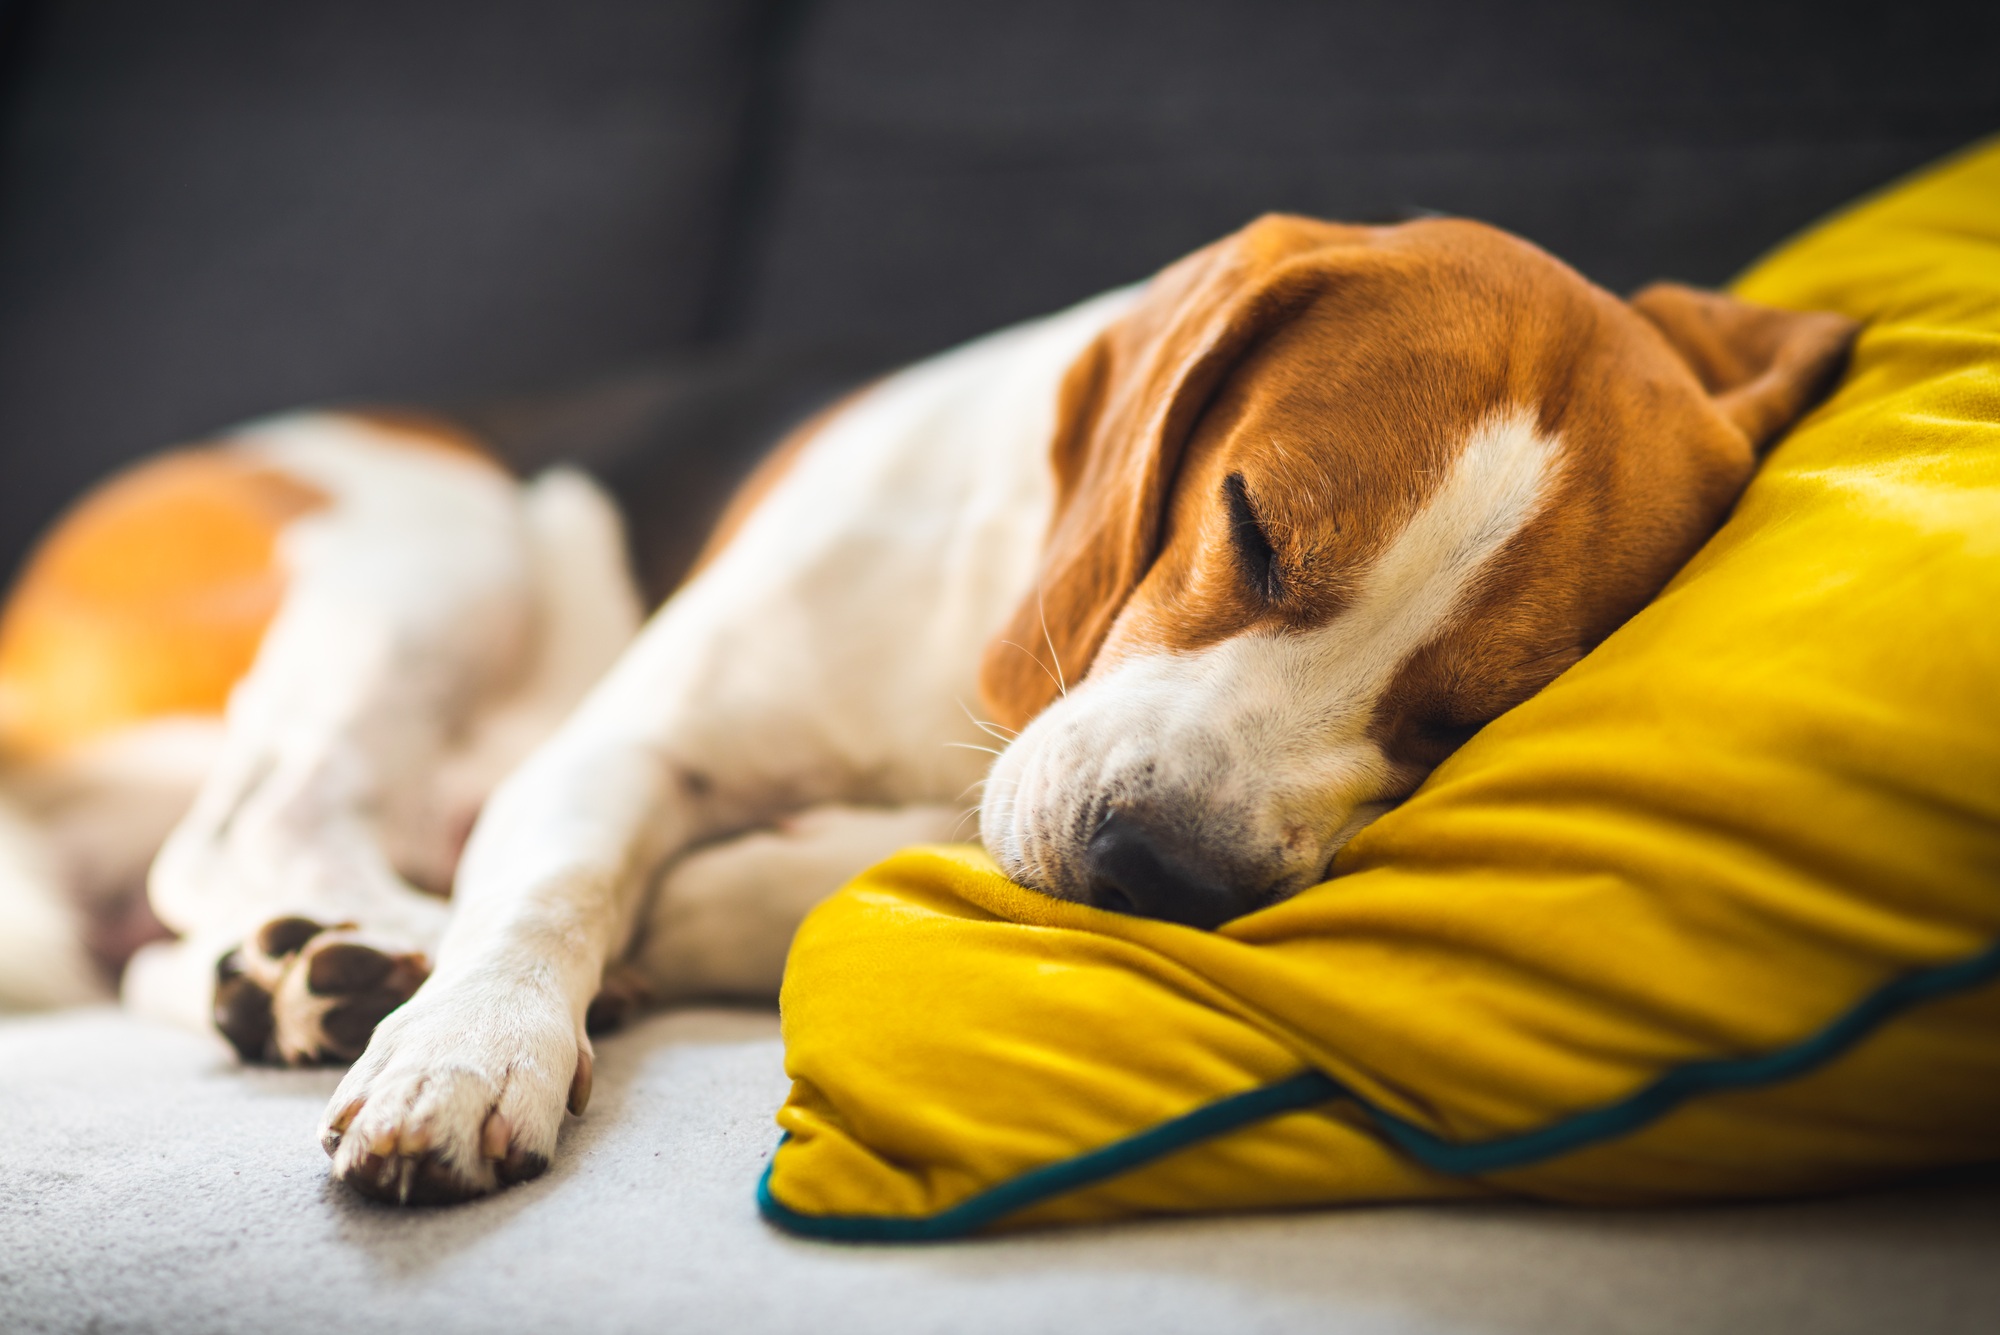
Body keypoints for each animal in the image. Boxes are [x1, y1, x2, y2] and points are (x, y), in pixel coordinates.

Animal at [0, 216, 1848, 1199]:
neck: (979, 633)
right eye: (1252, 523)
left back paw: (296, 978)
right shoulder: (619, 742)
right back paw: (367, 955)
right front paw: (472, 1043)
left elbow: (828, 865)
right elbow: (550, 894)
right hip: (436, 535)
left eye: (1467, 720)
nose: (1160, 871)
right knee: (241, 828)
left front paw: (708, 907)